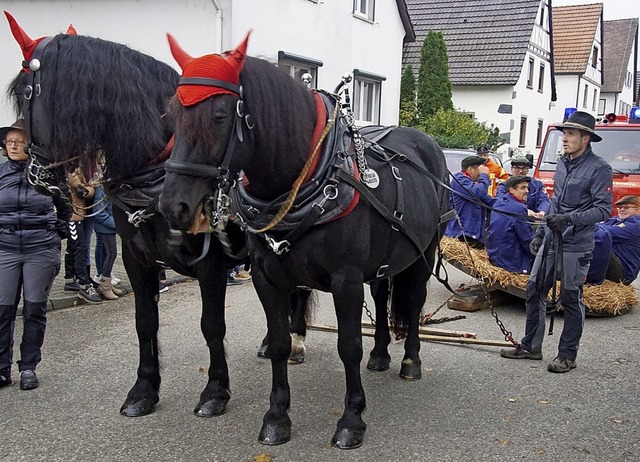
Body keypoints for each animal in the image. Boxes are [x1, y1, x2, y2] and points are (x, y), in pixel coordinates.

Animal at [5, 13, 254, 418]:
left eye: (25, 92)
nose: (35, 175)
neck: (158, 174)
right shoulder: (139, 260)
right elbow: (145, 323)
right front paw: (143, 390)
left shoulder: (211, 264)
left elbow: (212, 326)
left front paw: (215, 390)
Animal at [159, 35, 450, 448]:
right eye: (171, 117)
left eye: (219, 116)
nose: (173, 206)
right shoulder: (267, 277)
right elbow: (280, 342)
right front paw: (276, 417)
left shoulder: (346, 280)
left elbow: (348, 346)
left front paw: (351, 420)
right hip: (383, 261)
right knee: (382, 297)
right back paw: (380, 354)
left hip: (423, 254)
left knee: (413, 302)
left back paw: (410, 361)